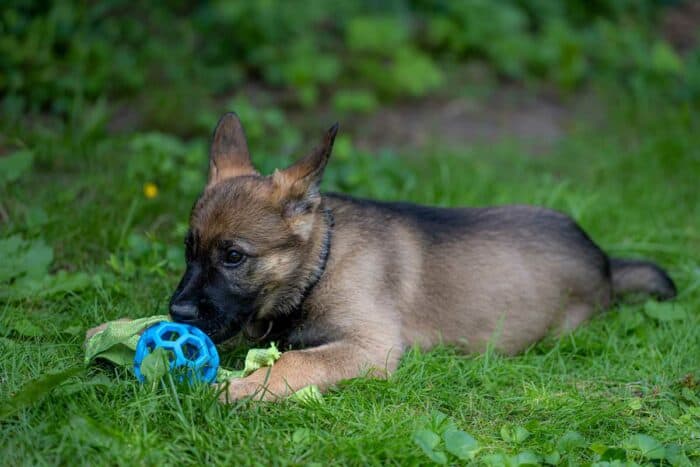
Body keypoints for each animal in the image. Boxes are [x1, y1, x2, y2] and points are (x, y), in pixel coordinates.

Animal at [167, 113, 676, 402]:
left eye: (234, 257)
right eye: (189, 250)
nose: (176, 312)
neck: (321, 264)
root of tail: (604, 261)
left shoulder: (371, 348)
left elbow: (296, 363)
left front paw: (237, 388)